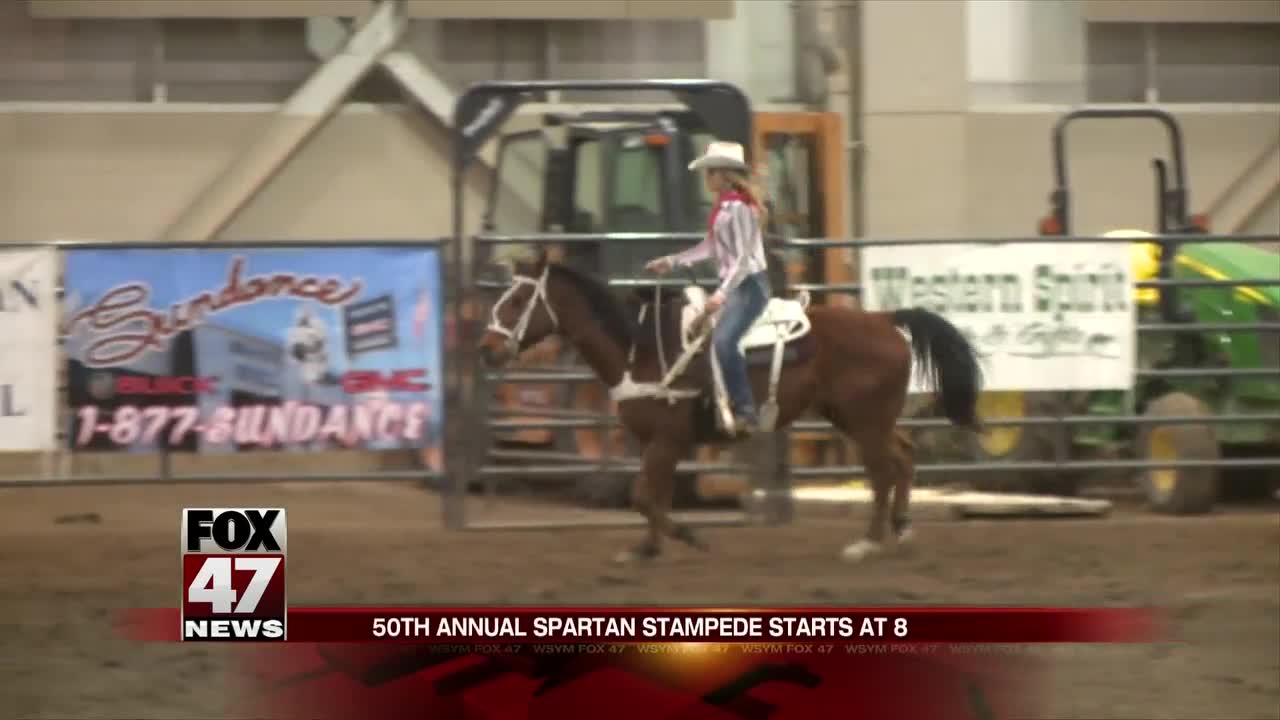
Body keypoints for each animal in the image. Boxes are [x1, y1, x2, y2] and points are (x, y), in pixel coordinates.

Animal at [476, 251, 983, 561]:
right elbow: (649, 496)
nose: (486, 349)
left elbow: (643, 495)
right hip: (859, 418)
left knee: (883, 472)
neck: (640, 348)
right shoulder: (658, 444)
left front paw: (686, 536)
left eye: (518, 300)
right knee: (903, 459)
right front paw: (647, 549)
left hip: (865, 421)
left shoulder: (668, 438)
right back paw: (902, 529)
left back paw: (867, 543)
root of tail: (884, 320)